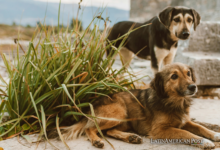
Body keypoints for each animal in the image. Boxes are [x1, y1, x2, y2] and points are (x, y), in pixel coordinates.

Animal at [62, 62, 220, 149]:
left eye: (188, 73)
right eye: (174, 76)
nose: (193, 87)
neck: (175, 102)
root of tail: (93, 103)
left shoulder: (185, 121)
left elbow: (201, 127)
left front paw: (215, 134)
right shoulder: (160, 130)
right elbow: (186, 133)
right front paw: (205, 142)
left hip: (126, 121)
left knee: (110, 131)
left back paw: (131, 137)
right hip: (118, 112)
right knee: (90, 129)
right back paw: (97, 141)